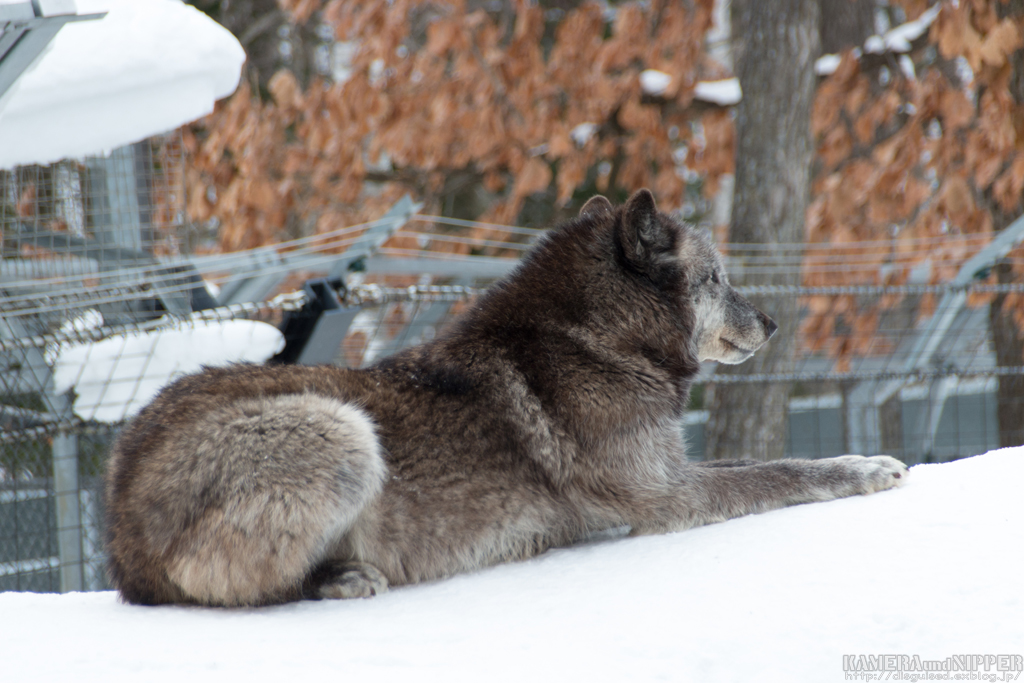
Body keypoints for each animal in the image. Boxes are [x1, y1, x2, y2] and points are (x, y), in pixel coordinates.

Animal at [101, 189, 905, 606]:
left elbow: (759, 459)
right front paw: (866, 469)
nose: (771, 322)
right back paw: (341, 579)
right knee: (227, 587)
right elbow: (784, 472)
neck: (593, 338)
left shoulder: (674, 470)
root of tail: (115, 525)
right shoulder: (668, 497)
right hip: (342, 431)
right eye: (716, 279)